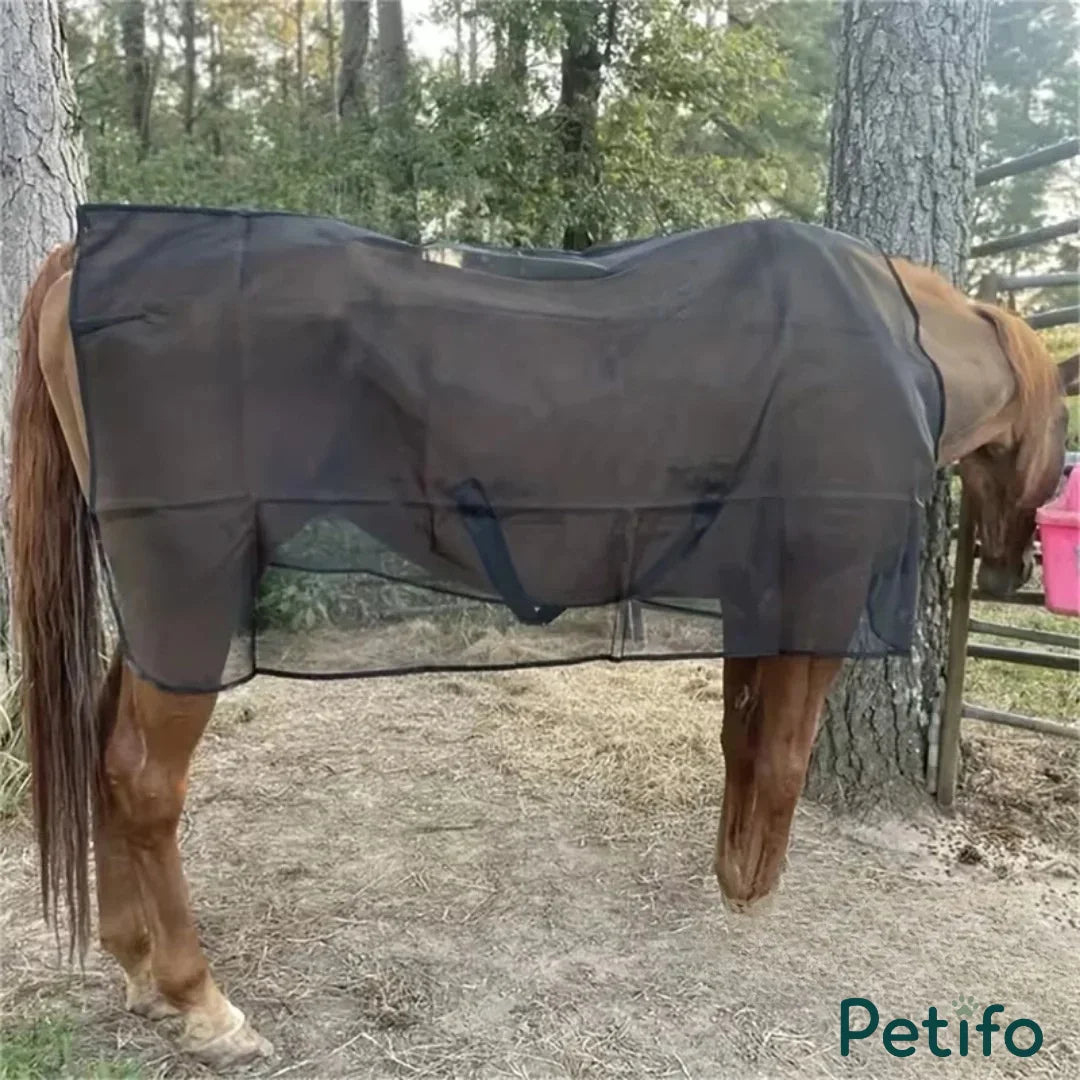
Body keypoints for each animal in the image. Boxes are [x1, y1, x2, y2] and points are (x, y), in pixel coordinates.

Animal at [9, 228, 1068, 1068]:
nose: (1011, 569)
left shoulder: (752, 591)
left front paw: (730, 874)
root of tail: (88, 256)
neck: (887, 348)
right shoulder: (814, 588)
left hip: (158, 604)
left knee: (103, 747)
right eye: (1061, 437)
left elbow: (741, 743)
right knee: (144, 777)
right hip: (190, 580)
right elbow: (782, 758)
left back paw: (135, 965)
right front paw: (756, 896)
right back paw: (202, 1002)